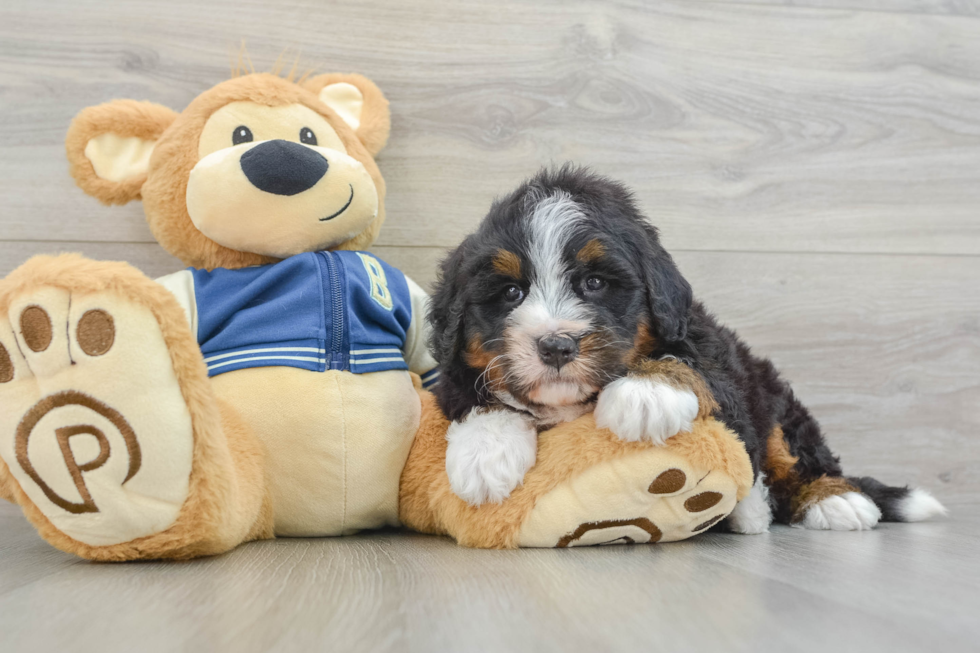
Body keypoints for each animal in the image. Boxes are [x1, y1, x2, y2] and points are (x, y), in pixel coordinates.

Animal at [426, 166, 940, 532]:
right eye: (511, 293)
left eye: (595, 283)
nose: (555, 344)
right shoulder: (454, 370)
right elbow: (472, 394)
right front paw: (484, 455)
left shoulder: (715, 355)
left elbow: (693, 363)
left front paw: (647, 393)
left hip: (775, 398)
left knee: (794, 453)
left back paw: (833, 499)